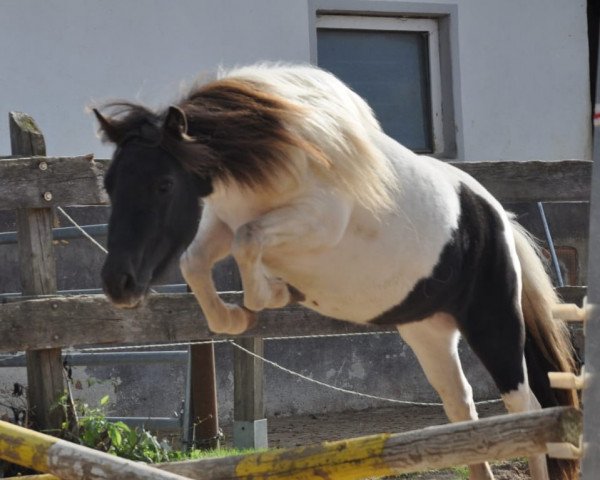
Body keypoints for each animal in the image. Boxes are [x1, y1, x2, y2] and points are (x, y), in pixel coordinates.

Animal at [96, 64, 580, 480]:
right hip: (429, 333)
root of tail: (496, 215)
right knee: (462, 408)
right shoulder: (223, 222)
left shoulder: (316, 220)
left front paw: (272, 295)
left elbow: (248, 245)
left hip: (494, 325)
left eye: (164, 184)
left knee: (526, 409)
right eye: (111, 184)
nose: (118, 284)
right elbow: (197, 261)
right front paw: (234, 318)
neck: (270, 152)